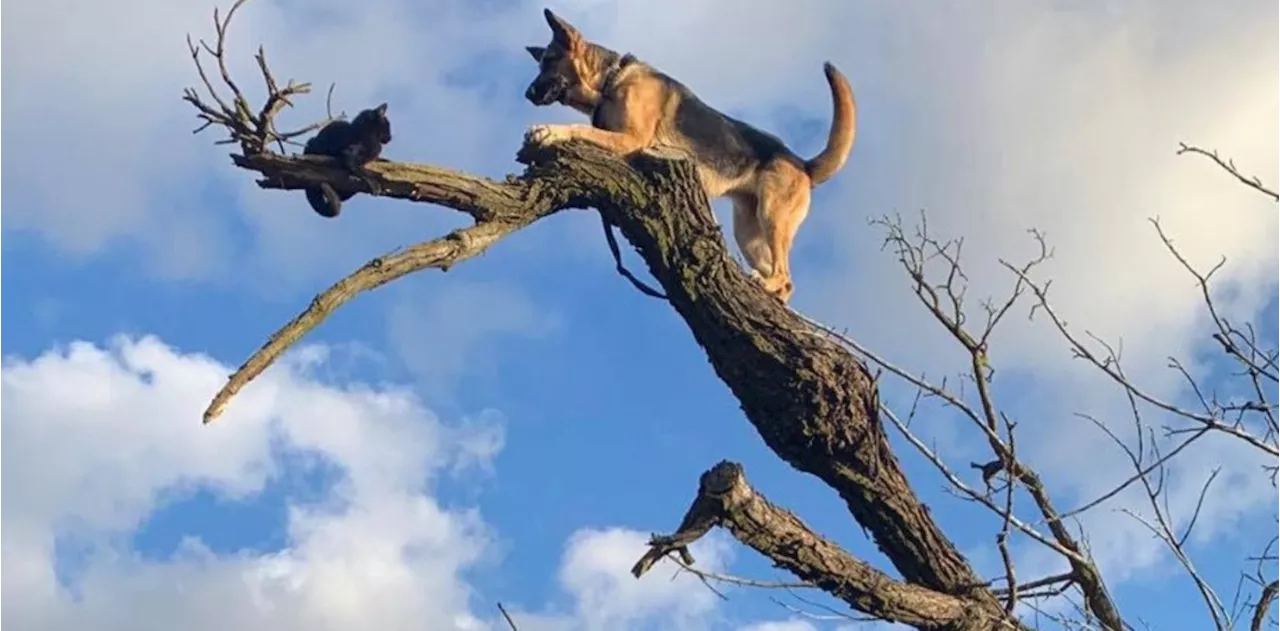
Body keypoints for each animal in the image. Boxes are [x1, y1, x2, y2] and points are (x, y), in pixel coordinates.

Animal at [519, 7, 860, 302]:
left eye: (550, 60)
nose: (528, 94)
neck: (610, 79)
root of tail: (802, 164)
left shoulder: (630, 139)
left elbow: (578, 127)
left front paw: (548, 131)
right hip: (748, 233)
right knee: (786, 283)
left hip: (772, 216)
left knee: (785, 275)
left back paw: (768, 286)